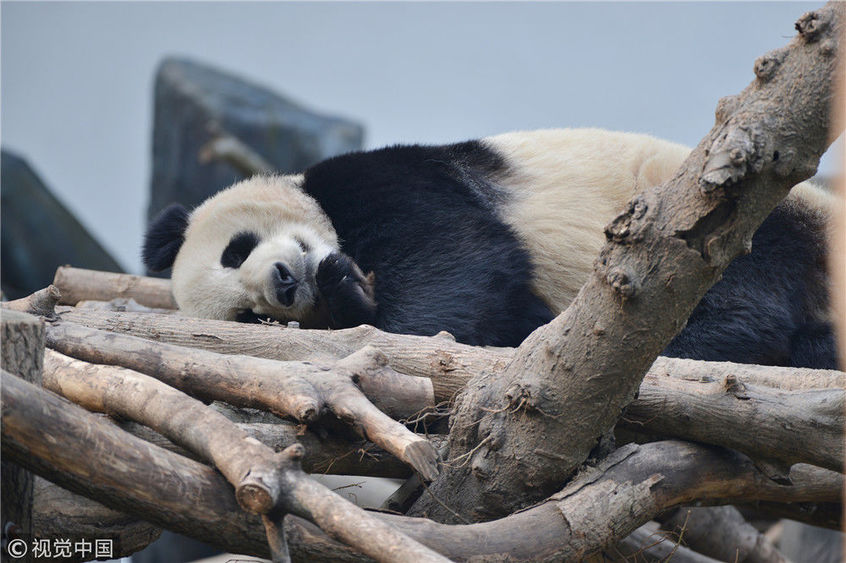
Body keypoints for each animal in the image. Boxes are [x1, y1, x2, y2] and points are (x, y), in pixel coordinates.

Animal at [146, 126, 840, 370]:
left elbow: (458, 261)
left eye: (236, 249)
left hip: (732, 216)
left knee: (740, 287)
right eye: (251, 318)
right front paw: (349, 299)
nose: (285, 284)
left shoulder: (384, 182)